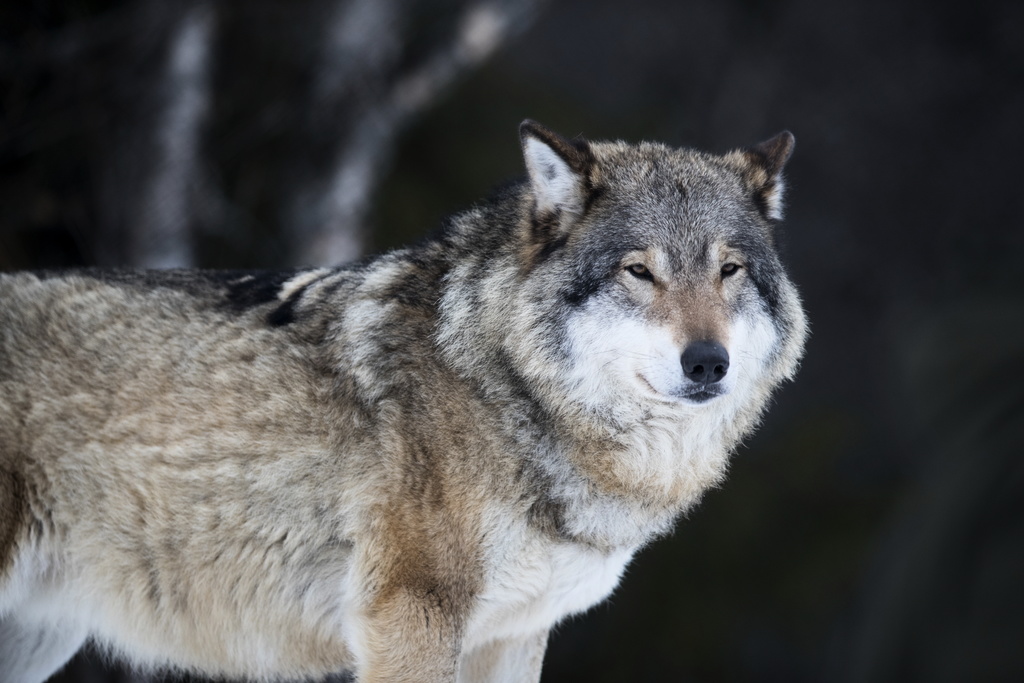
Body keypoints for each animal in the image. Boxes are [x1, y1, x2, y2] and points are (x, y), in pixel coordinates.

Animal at [0, 122, 806, 683]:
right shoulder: (412, 613)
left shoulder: (512, 635)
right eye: (639, 272)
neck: (505, 389)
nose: (707, 362)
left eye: (729, 270)